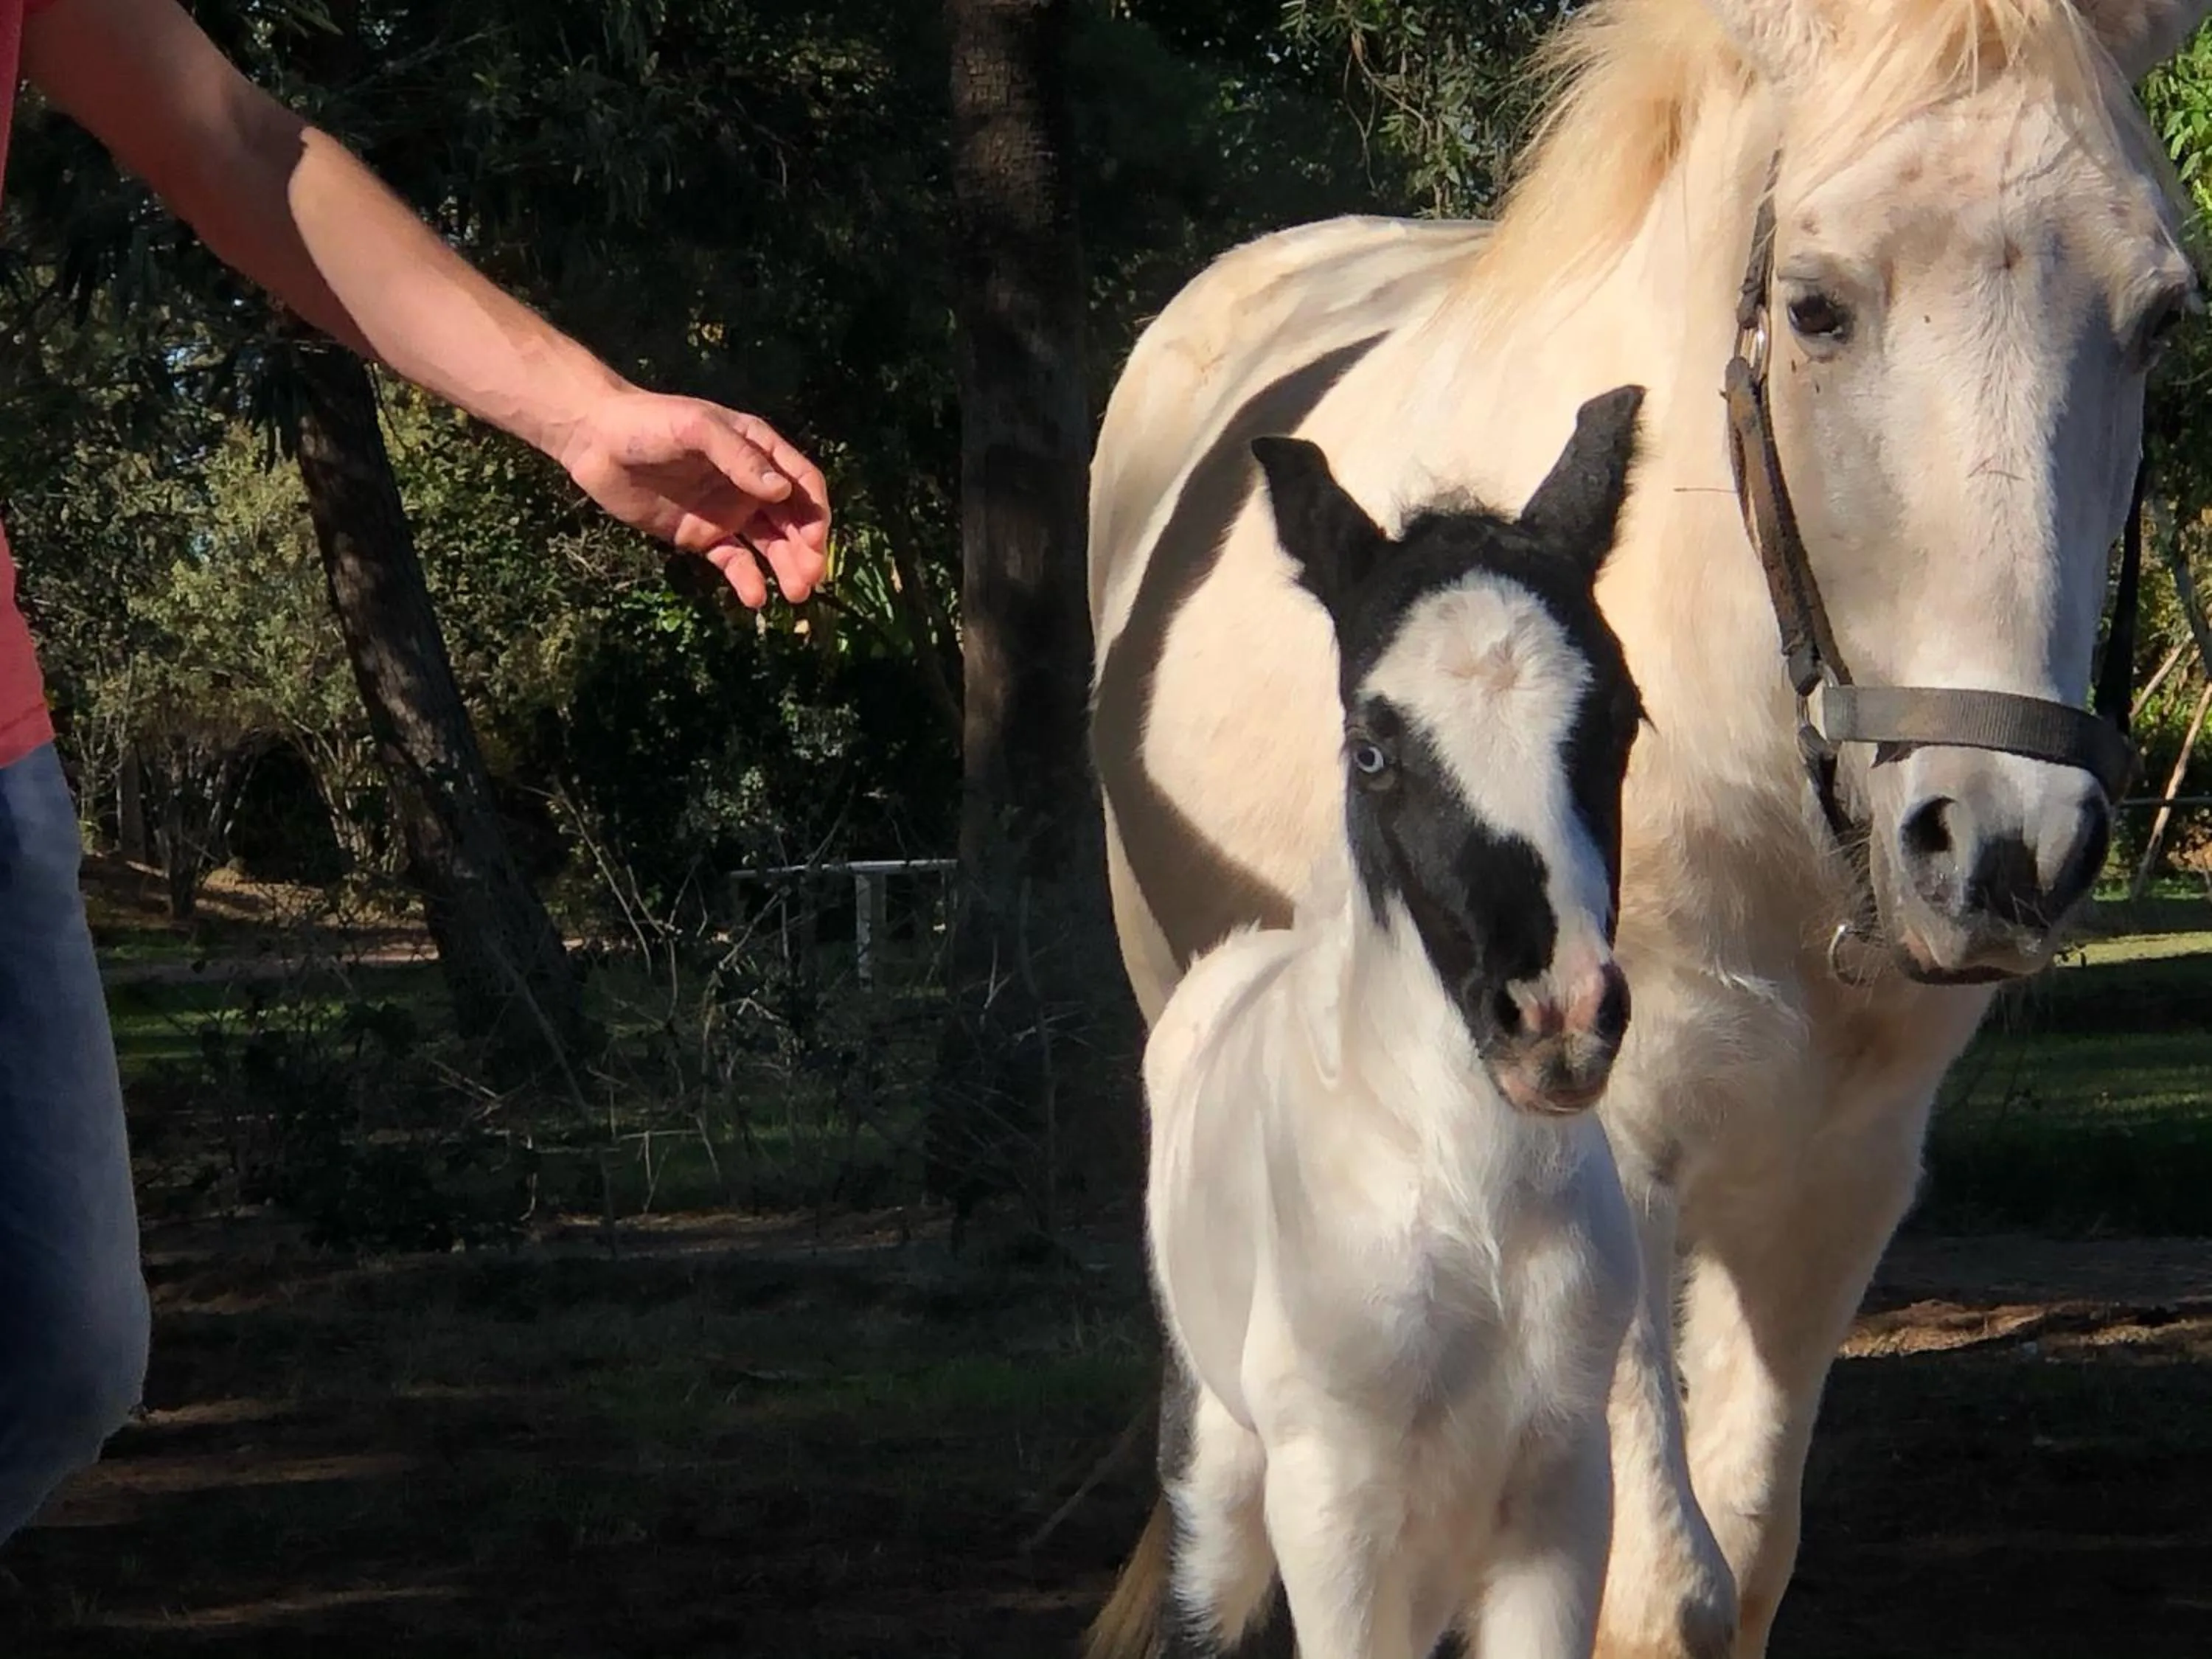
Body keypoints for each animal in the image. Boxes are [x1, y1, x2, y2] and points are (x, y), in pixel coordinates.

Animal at [1145, 394, 1647, 1659]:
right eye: (1372, 749)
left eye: (1622, 720)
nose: (1558, 1016)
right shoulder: (1335, 1515)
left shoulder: (1564, 1492)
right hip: (1223, 1490)